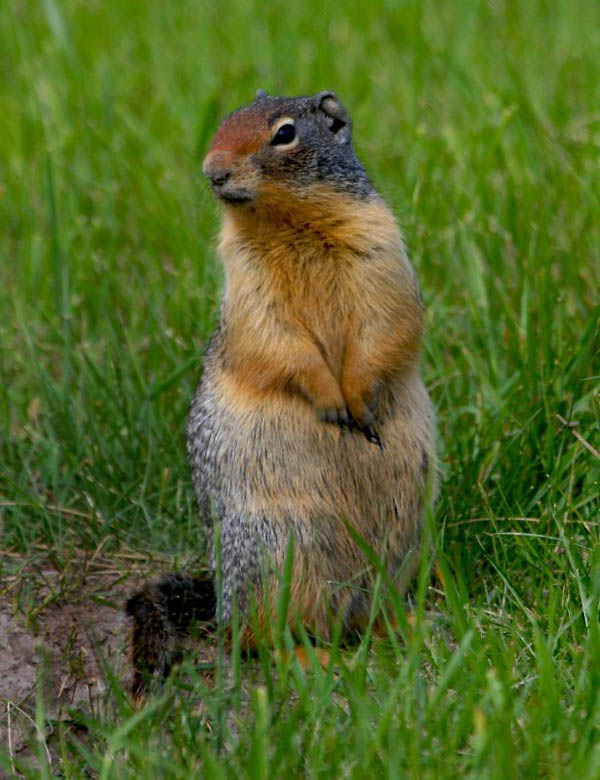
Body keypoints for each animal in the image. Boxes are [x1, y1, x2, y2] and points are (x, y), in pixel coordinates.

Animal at [126, 91, 436, 696]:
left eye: (285, 133)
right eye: (223, 122)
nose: (212, 171)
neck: (288, 222)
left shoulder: (381, 247)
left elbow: (386, 324)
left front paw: (359, 400)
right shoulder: (248, 287)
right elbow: (278, 343)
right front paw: (333, 401)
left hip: (402, 541)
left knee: (363, 612)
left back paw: (404, 625)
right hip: (279, 553)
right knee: (252, 638)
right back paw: (311, 659)